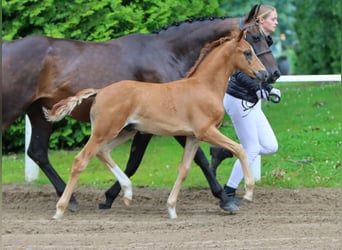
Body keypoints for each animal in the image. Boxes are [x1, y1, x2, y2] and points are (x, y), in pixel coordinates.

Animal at [2, 4, 280, 211]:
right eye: (255, 38)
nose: (272, 73)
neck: (167, 52)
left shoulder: (146, 126)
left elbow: (134, 162)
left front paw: (110, 196)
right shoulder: (174, 124)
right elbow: (197, 158)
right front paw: (224, 198)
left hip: (39, 112)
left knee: (37, 152)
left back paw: (69, 199)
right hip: (13, 109)